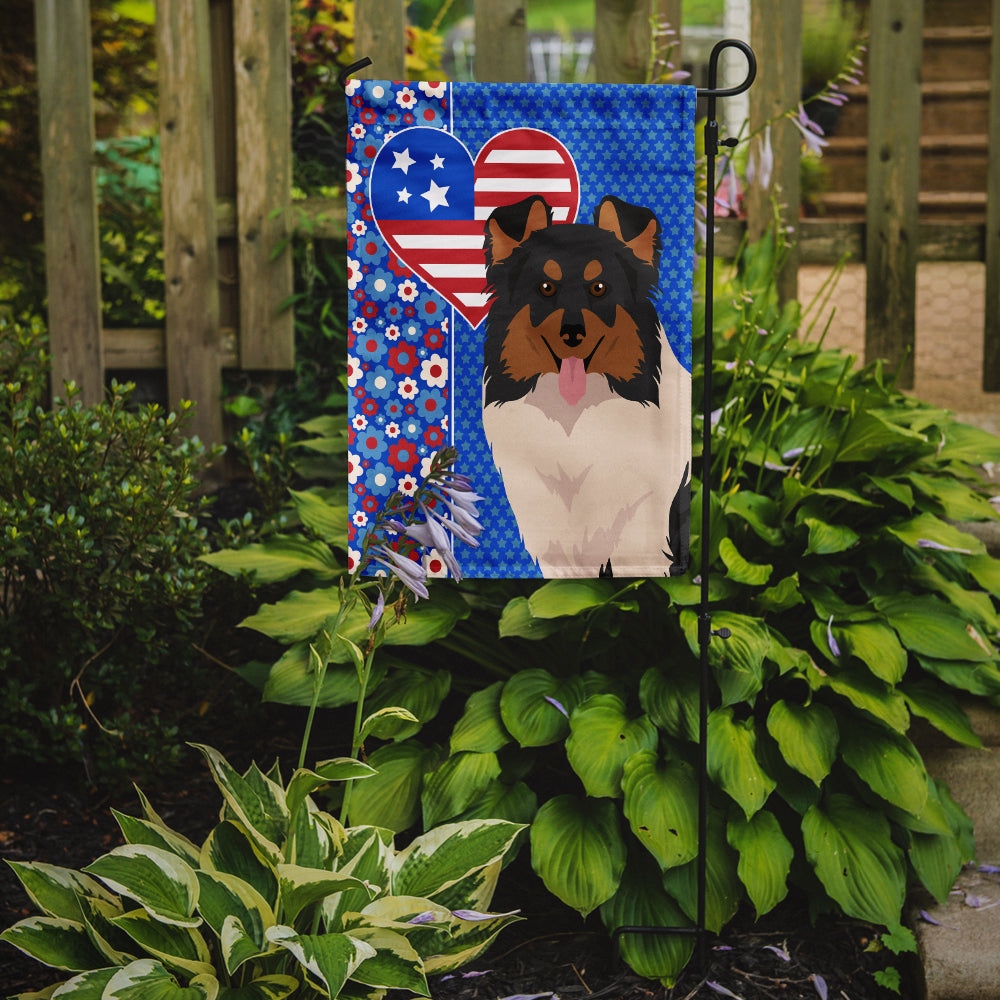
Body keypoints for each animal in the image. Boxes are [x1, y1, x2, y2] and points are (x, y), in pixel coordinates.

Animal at [482, 194, 688, 580]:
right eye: (545, 288)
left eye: (600, 288)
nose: (573, 334)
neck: (574, 419)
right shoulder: (550, 537)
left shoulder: (641, 533)